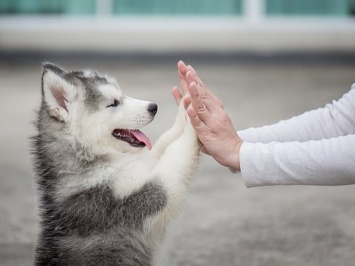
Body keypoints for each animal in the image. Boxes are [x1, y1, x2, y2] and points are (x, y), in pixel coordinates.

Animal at [31, 63, 200, 264]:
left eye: (122, 95)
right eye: (113, 103)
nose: (153, 107)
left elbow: (165, 142)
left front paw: (185, 107)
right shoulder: (141, 196)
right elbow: (177, 153)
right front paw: (195, 117)